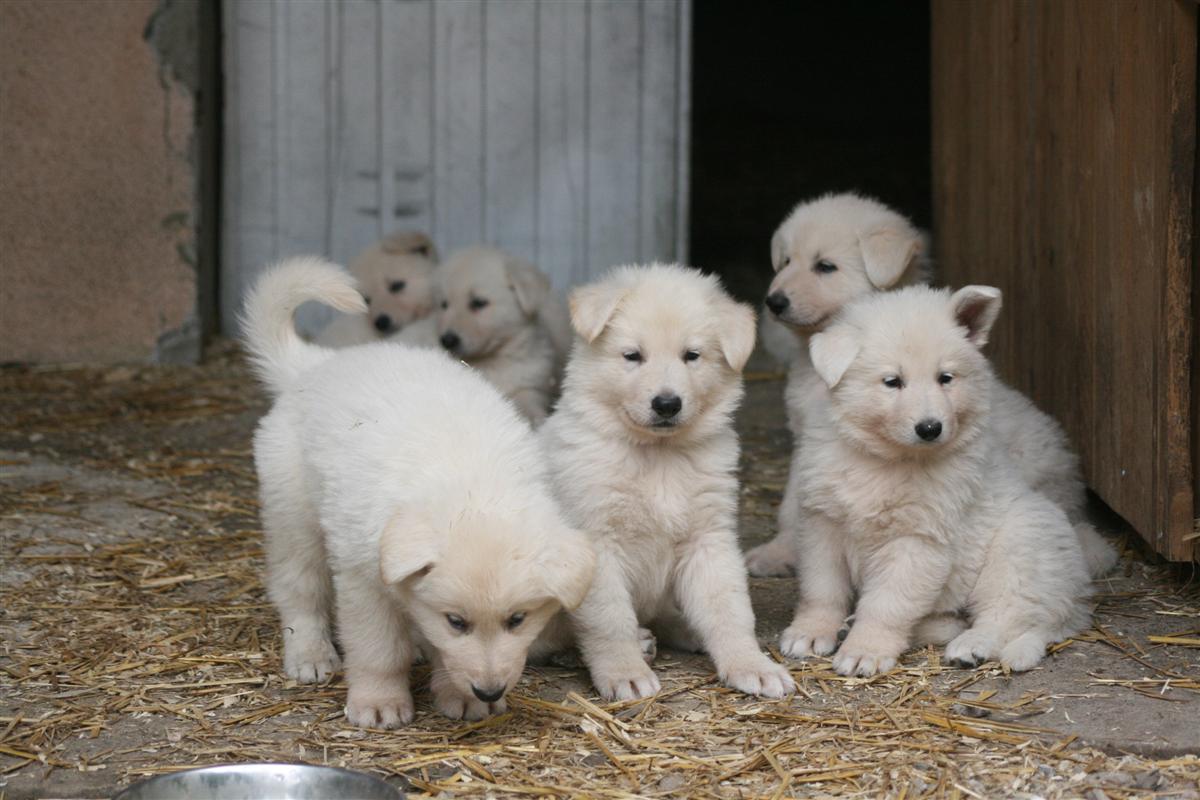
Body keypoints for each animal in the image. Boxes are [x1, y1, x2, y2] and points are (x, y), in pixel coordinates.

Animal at [398, 248, 571, 424]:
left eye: (479, 302)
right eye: (444, 305)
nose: (447, 340)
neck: (492, 361)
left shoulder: (529, 385)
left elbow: (528, 404)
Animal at [537, 263, 796, 700]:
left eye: (691, 356)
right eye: (632, 356)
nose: (667, 404)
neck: (658, 456)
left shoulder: (708, 539)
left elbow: (728, 609)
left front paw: (751, 665)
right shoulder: (597, 545)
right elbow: (610, 620)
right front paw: (624, 673)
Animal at [739, 194, 1113, 582]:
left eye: (825, 266)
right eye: (785, 261)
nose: (774, 301)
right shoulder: (807, 441)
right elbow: (793, 503)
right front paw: (779, 552)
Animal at [777, 287, 1099, 676]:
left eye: (946, 377)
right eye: (892, 382)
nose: (930, 428)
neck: (885, 461)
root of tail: (1076, 593)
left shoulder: (918, 541)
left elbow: (886, 605)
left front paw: (865, 650)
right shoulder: (822, 524)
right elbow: (821, 590)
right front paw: (810, 632)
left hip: (1019, 553)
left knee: (1010, 618)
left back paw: (971, 646)